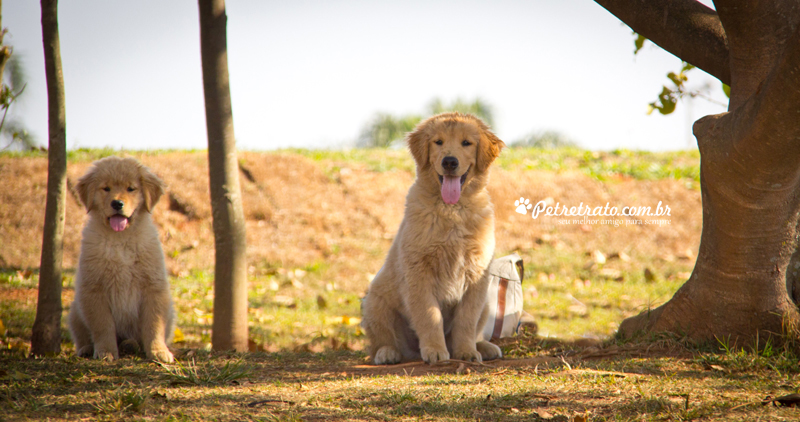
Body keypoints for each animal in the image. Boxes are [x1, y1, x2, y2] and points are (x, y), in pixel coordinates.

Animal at [68, 157, 175, 362]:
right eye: (106, 188)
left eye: (131, 189)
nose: (117, 203)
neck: (121, 240)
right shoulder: (94, 288)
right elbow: (103, 325)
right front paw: (106, 351)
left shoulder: (154, 286)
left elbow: (154, 324)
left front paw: (158, 351)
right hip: (76, 310)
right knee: (82, 335)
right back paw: (87, 348)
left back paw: (130, 344)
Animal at [362, 113, 506, 366]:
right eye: (438, 142)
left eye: (466, 143)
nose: (449, 162)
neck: (452, 210)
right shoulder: (419, 273)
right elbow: (430, 316)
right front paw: (436, 351)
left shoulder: (476, 276)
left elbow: (466, 321)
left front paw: (466, 351)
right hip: (374, 303)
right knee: (381, 340)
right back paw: (387, 353)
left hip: (487, 304)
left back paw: (484, 346)